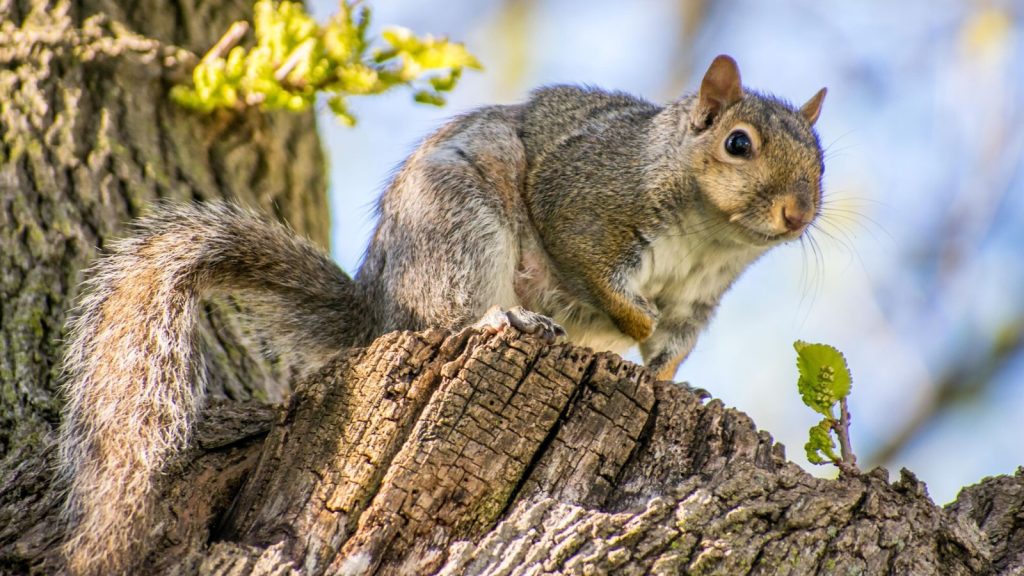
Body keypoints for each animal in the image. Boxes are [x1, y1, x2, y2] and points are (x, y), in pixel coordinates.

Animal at [58, 54, 826, 574]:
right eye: (737, 143)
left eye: (820, 159)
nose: (799, 213)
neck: (708, 237)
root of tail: (379, 309)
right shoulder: (588, 203)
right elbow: (597, 277)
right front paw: (623, 326)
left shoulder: (697, 304)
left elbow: (671, 349)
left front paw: (676, 382)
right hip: (459, 229)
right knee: (440, 320)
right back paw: (503, 323)